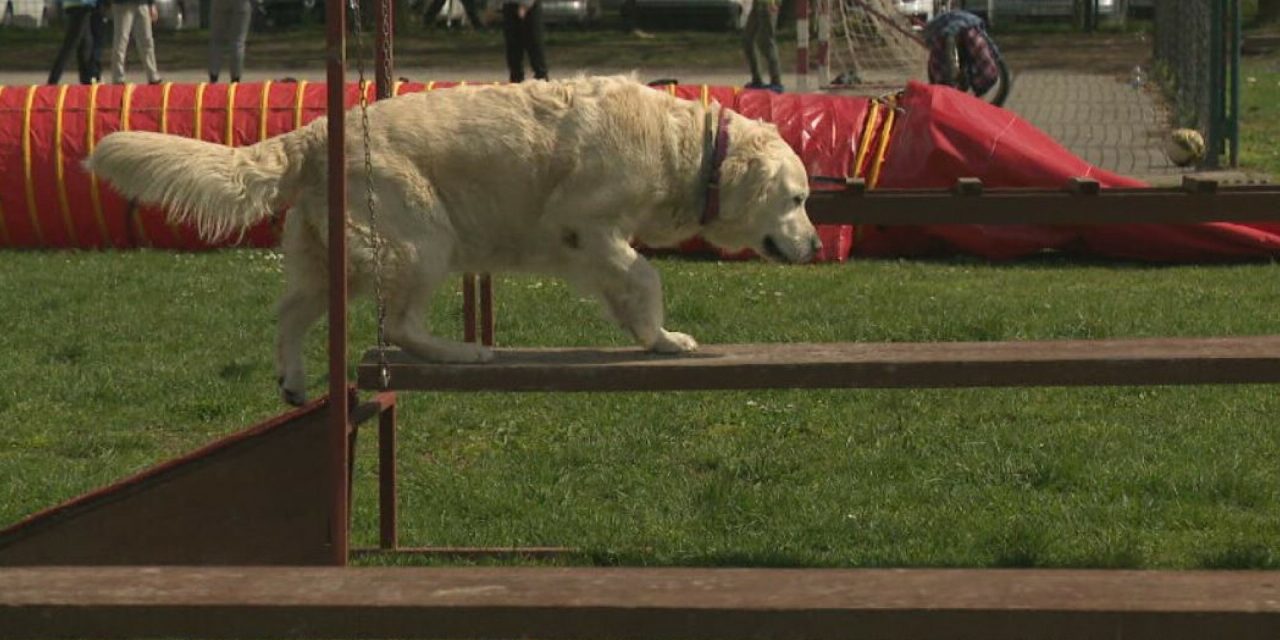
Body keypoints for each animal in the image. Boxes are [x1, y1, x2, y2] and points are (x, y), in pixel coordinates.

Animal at [87, 74, 819, 404]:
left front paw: (649, 337)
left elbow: (627, 286)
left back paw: (293, 381)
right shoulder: (585, 225)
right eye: (798, 199)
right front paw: (667, 339)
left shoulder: (591, 245)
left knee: (292, 313)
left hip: (331, 259)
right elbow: (645, 275)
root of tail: (316, 133)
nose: (814, 246)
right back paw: (465, 352)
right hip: (421, 239)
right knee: (399, 325)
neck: (689, 150)